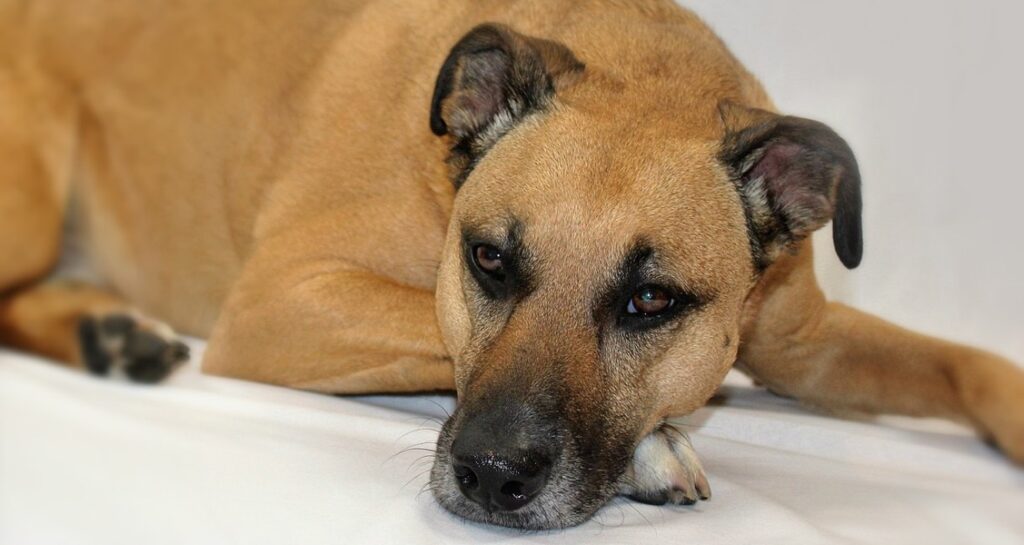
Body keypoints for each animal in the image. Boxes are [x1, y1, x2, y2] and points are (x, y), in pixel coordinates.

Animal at [2, 0, 1024, 528]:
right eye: (489, 258)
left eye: (652, 299)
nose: (492, 478)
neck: (642, 67)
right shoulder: (281, 300)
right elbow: (435, 328)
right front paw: (657, 444)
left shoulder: (805, 339)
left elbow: (969, 364)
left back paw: (107, 333)